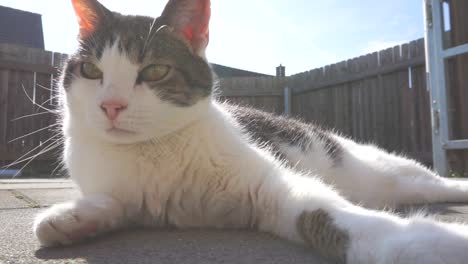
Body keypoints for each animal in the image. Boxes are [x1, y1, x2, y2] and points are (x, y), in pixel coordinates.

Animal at [34, 0, 468, 262]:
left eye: (154, 71)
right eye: (91, 70)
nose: (110, 105)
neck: (150, 151)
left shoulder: (274, 186)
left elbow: (332, 216)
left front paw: (437, 245)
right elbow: (112, 203)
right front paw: (70, 218)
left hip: (388, 173)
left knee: (437, 184)